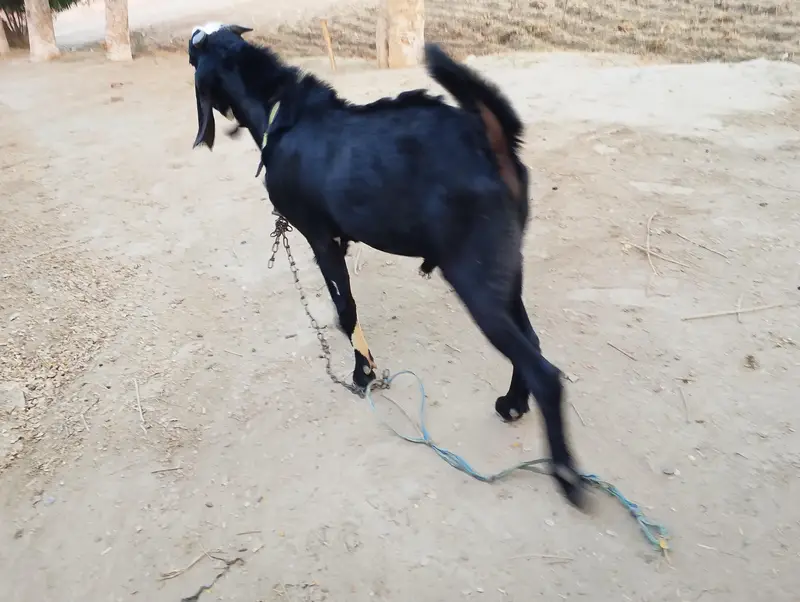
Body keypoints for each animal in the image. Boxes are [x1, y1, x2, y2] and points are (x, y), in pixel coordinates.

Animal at [188, 23, 587, 509]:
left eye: (197, 51)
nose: (192, 36)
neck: (284, 114)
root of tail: (490, 141)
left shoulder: (318, 236)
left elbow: (346, 310)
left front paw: (363, 375)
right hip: (506, 267)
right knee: (530, 340)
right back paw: (512, 404)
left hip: (473, 273)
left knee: (544, 371)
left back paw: (567, 477)